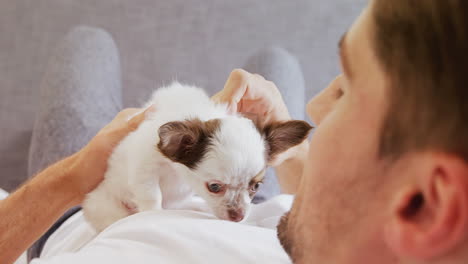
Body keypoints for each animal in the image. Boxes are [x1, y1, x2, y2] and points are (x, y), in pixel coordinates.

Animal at [82, 82, 312, 231]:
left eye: (256, 186)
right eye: (214, 187)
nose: (238, 216)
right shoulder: (144, 166)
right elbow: (151, 195)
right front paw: (152, 213)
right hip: (107, 208)